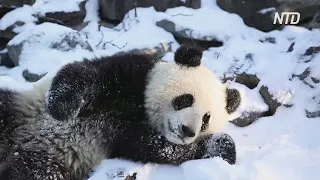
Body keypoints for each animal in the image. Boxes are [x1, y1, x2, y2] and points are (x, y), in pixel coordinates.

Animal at [0, 45, 240, 180]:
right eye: (185, 100)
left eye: (206, 119)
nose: (187, 130)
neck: (141, 110)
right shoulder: (133, 75)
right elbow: (83, 74)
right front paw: (63, 107)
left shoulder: (124, 138)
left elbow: (163, 149)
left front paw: (222, 145)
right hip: (21, 111)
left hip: (47, 163)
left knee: (33, 173)